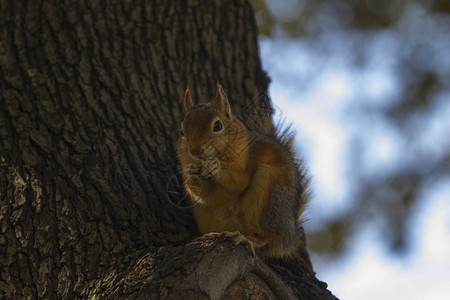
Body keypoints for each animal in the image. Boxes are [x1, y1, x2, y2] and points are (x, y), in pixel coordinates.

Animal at [178, 84, 308, 260]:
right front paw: (192, 175)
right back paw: (214, 234)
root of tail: (290, 235)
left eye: (218, 126)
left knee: (267, 238)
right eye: (182, 131)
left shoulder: (247, 157)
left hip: (271, 197)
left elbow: (240, 181)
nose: (195, 151)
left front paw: (215, 166)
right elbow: (202, 194)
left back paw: (246, 238)